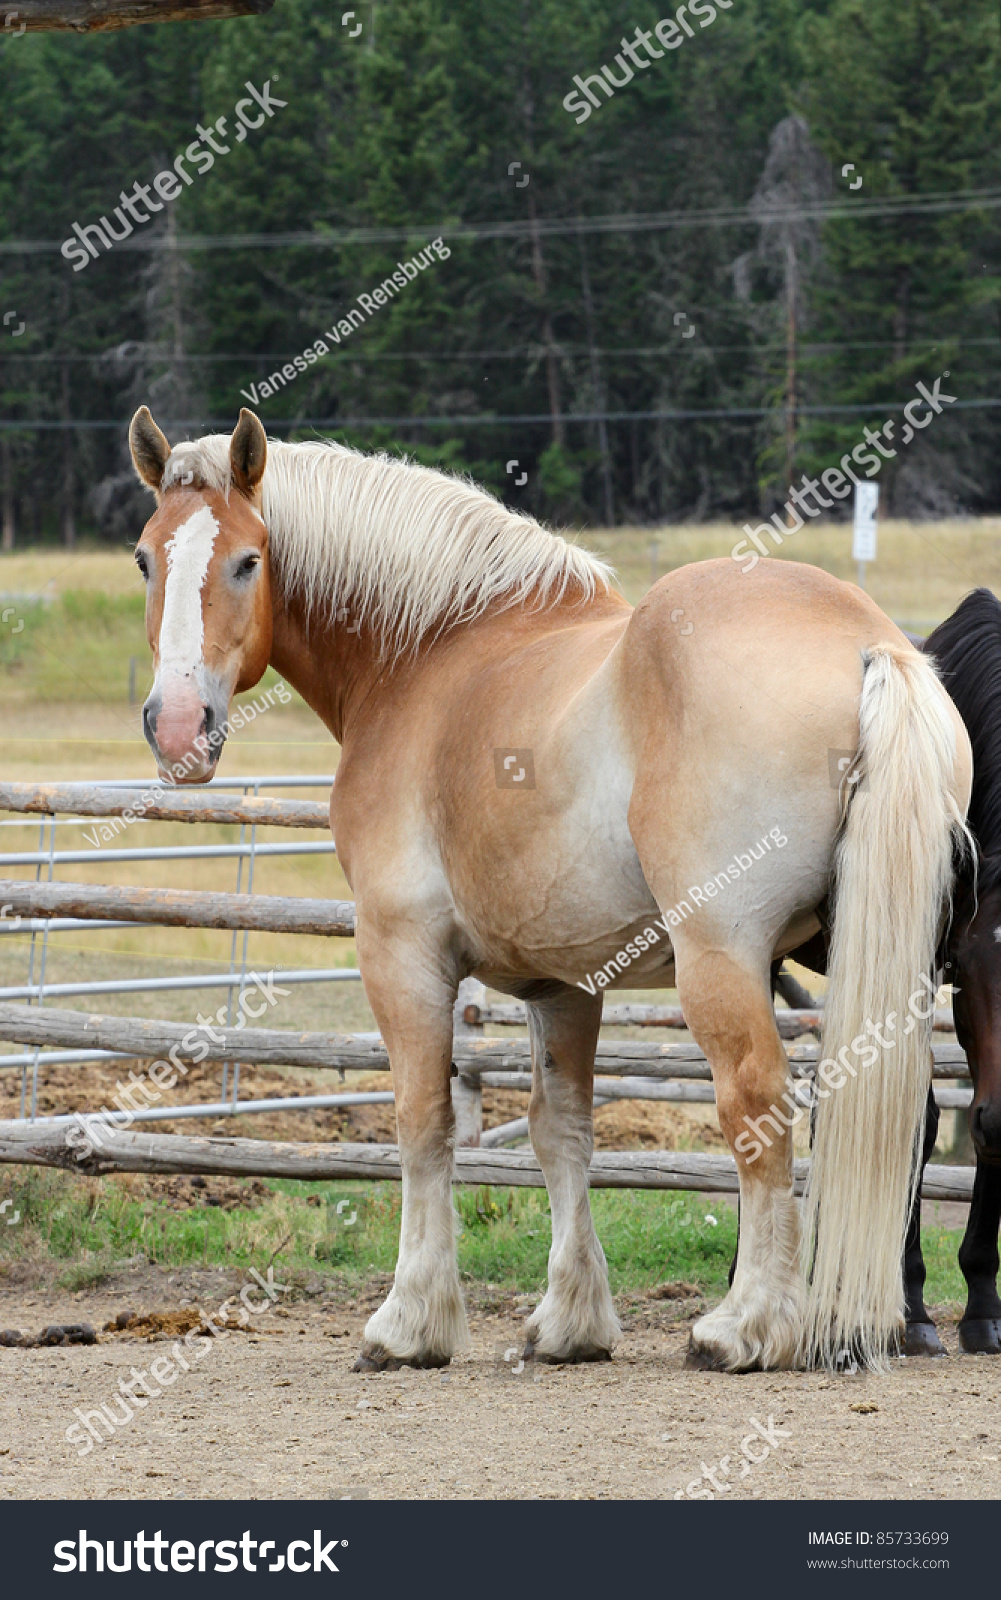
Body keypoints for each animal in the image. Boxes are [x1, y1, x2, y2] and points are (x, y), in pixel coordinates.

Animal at [124, 409, 965, 1376]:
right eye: (145, 558)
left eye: (247, 561)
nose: (177, 728)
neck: (433, 655)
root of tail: (868, 641)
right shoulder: (562, 984)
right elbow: (560, 1131)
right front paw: (571, 1320)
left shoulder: (399, 952)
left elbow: (422, 1121)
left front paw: (409, 1321)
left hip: (722, 962)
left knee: (757, 1108)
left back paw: (745, 1326)